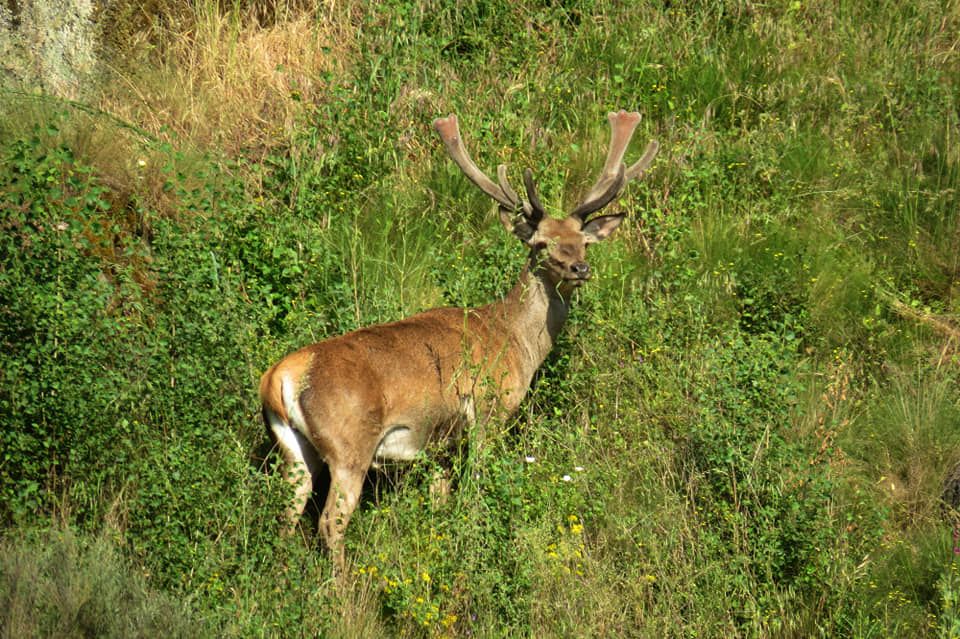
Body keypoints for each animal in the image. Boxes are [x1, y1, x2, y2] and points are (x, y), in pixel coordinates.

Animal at [258, 111, 656, 568]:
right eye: (541, 244)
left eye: (584, 241)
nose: (579, 268)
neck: (516, 340)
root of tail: (279, 378)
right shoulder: (489, 410)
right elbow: (477, 486)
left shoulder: (440, 444)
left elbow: (440, 498)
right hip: (349, 443)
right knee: (330, 524)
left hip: (292, 449)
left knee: (285, 516)